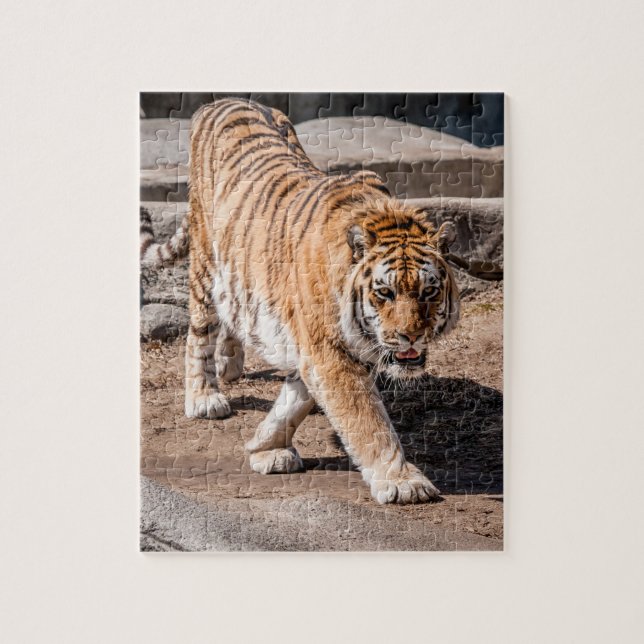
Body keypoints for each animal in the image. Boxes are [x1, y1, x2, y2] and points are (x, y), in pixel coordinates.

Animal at [141, 98, 460, 504]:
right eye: (384, 293)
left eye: (429, 292)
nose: (411, 337)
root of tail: (225, 100)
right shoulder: (329, 352)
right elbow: (366, 420)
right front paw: (403, 482)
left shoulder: (324, 349)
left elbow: (296, 399)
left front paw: (265, 448)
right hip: (205, 263)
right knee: (198, 333)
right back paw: (204, 398)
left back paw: (230, 363)